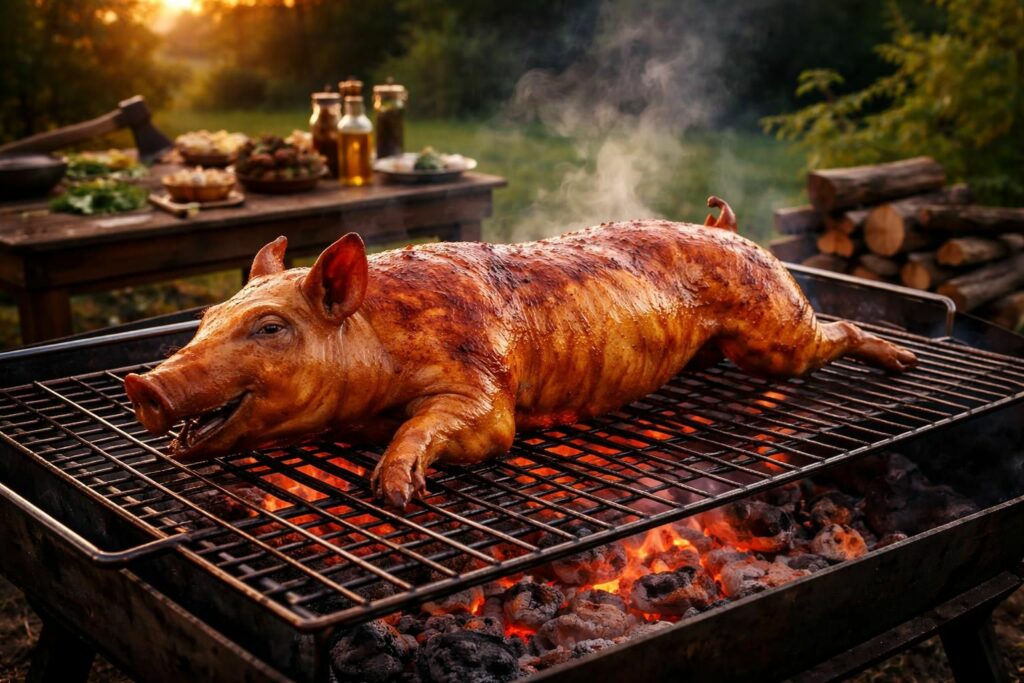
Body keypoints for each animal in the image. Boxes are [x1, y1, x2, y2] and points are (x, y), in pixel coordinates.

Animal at [124, 198, 916, 508]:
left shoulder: (482, 383)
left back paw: (902, 363)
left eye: (268, 327)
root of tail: (729, 227)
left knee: (832, 334)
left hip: (775, 328)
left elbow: (466, 425)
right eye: (206, 316)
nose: (142, 385)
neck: (381, 337)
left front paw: (395, 490)